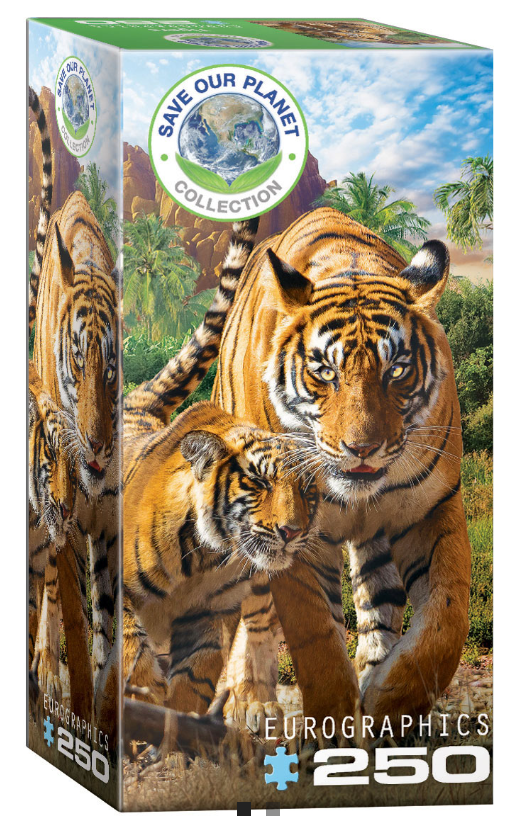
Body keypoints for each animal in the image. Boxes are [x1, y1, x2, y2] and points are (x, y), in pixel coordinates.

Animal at [211, 206, 471, 731]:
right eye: (324, 372)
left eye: (396, 370)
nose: (362, 448)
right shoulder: (293, 537)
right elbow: (317, 640)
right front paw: (335, 727)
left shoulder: (434, 508)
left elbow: (446, 620)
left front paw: (389, 701)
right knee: (250, 611)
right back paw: (250, 702)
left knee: (378, 601)